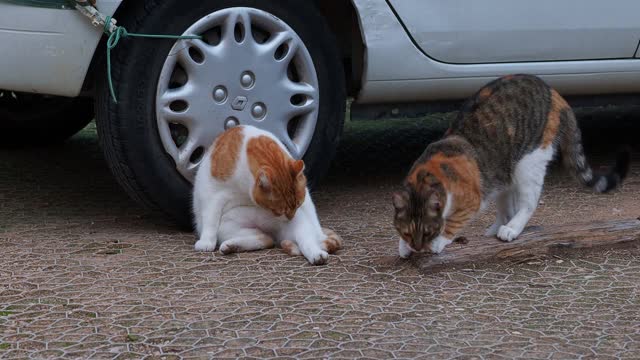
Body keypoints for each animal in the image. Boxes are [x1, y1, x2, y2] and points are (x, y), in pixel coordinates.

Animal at [191, 124, 340, 264]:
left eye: (298, 205)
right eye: (278, 211)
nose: (290, 218)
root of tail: (275, 233)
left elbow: (310, 209)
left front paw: (320, 237)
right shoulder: (212, 192)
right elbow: (210, 217)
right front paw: (207, 241)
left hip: (300, 227)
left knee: (306, 241)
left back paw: (317, 254)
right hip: (227, 228)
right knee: (265, 239)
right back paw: (231, 246)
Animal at [396, 74, 632, 258]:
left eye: (427, 233)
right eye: (407, 233)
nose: (417, 247)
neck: (426, 176)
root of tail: (552, 91)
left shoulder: (472, 199)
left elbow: (454, 221)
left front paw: (438, 241)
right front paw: (404, 246)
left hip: (528, 162)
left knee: (528, 202)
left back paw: (511, 228)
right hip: (502, 170)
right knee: (506, 205)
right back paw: (497, 227)